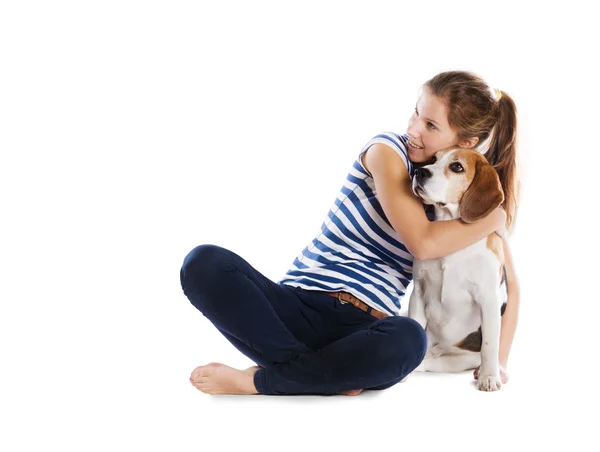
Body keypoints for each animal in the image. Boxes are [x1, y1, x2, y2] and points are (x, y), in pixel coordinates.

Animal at [408, 147, 506, 390]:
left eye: (457, 167)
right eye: (433, 159)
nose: (419, 172)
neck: (449, 228)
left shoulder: (488, 298)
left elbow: (490, 344)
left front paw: (489, 377)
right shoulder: (419, 291)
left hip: (465, 358)